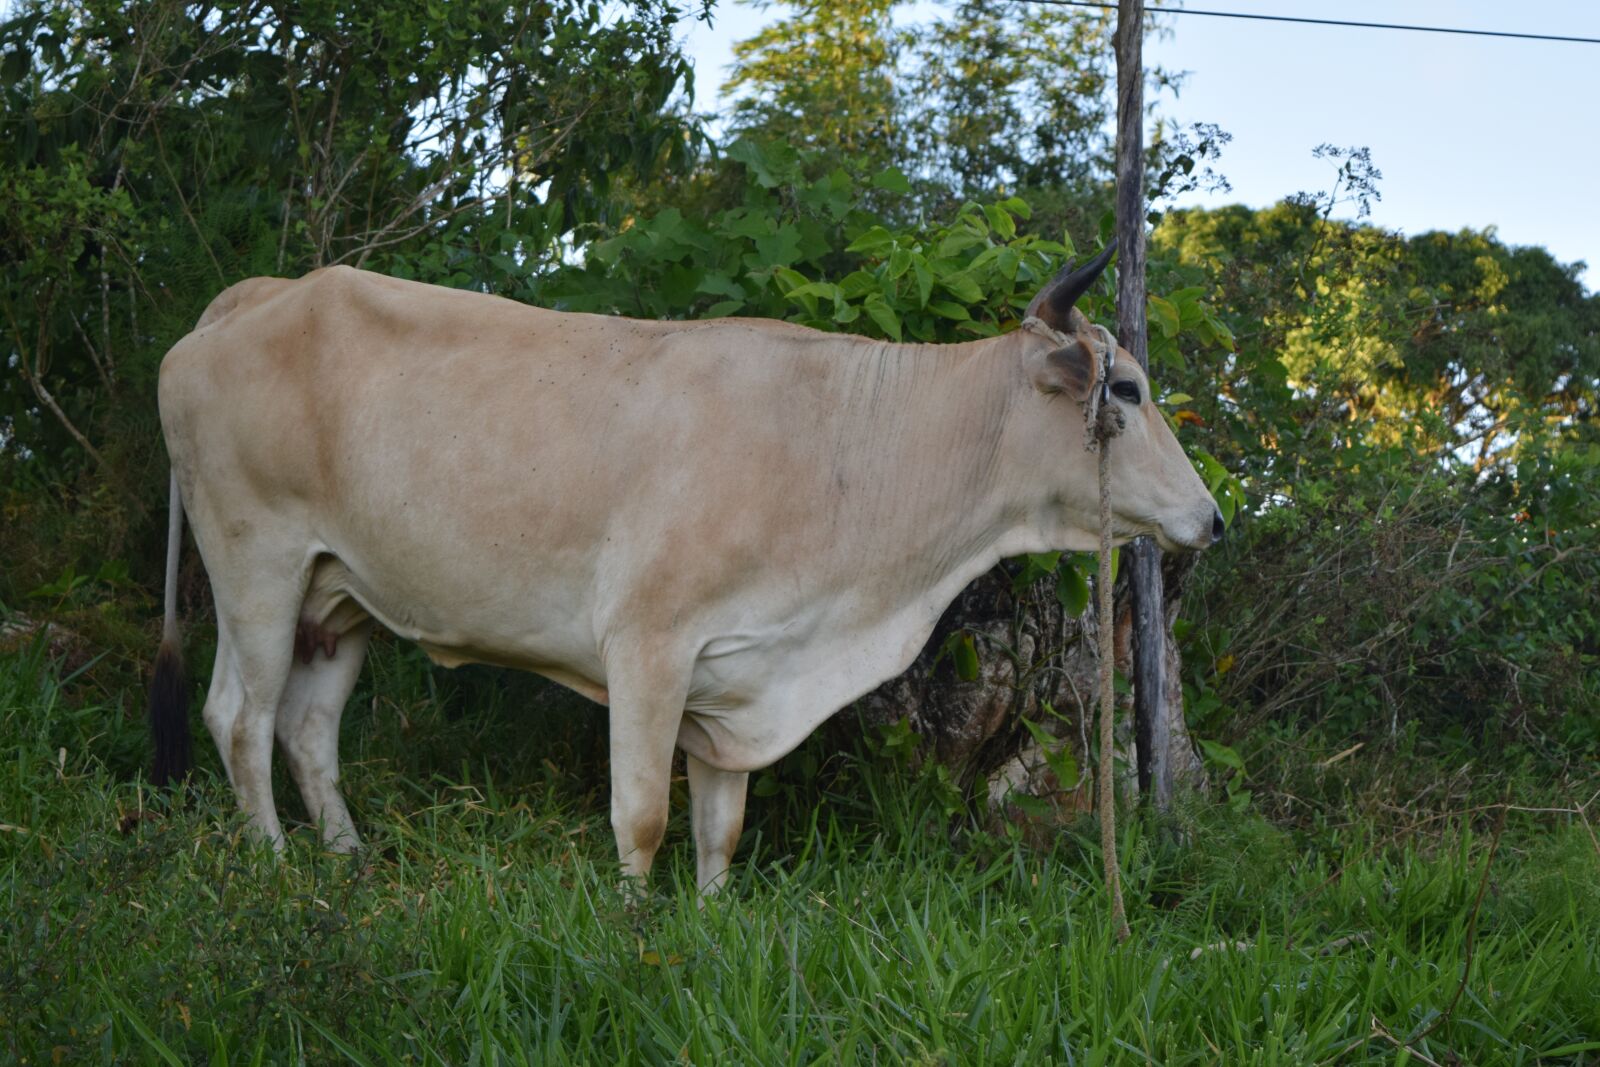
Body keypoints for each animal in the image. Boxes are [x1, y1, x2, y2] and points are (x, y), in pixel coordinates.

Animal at [149, 247, 1221, 892]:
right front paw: (633, 930)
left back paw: (347, 856)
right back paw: (273, 866)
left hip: (339, 595)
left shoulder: (739, 679)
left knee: (306, 726)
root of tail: (265, 293)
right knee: (238, 716)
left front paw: (709, 924)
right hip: (256, 563)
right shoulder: (648, 646)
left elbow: (719, 829)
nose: (1210, 518)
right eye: (1127, 388)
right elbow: (643, 816)